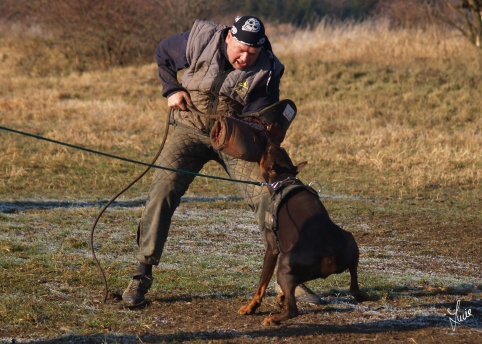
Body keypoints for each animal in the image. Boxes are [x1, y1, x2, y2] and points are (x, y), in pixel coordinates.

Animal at [238, 142, 370, 326]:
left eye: (268, 151)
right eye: (281, 149)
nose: (270, 142)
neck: (285, 180)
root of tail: (329, 255)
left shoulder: (272, 249)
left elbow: (261, 285)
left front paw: (250, 308)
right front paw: (281, 296)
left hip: (284, 265)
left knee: (293, 310)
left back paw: (274, 318)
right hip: (351, 244)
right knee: (354, 286)